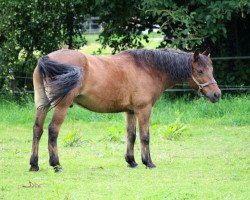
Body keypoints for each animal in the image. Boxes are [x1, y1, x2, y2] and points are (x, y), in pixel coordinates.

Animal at [29, 47, 221, 171]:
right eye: (200, 71)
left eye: (211, 69)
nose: (217, 94)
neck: (147, 68)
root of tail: (46, 59)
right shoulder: (144, 110)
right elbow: (145, 137)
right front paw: (148, 162)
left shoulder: (130, 111)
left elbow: (131, 135)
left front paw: (132, 161)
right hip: (61, 106)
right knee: (52, 131)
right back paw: (56, 164)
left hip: (42, 105)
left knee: (37, 130)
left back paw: (34, 164)